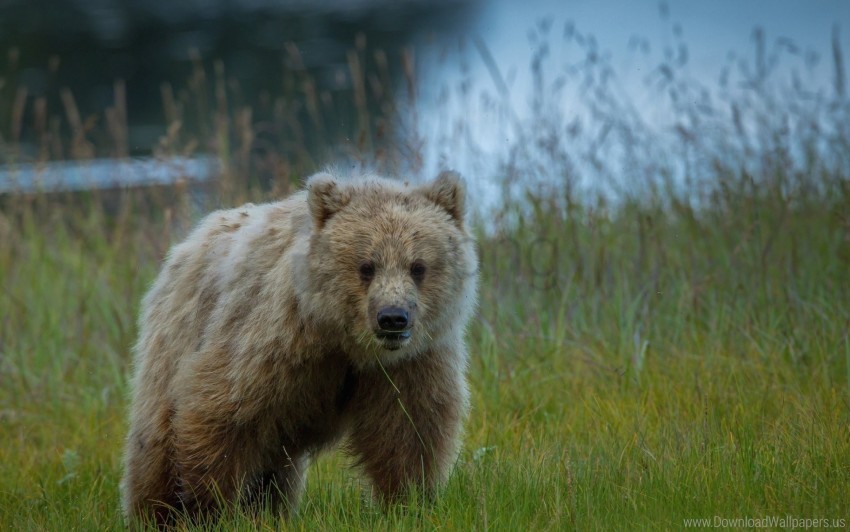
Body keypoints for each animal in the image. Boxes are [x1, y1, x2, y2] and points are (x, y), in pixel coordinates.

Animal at [119, 169, 476, 524]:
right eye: (366, 266)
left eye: (418, 266)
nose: (392, 318)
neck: (344, 341)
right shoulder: (273, 342)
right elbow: (220, 412)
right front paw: (207, 509)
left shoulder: (412, 361)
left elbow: (408, 429)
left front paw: (409, 502)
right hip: (175, 340)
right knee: (155, 445)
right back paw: (155, 512)